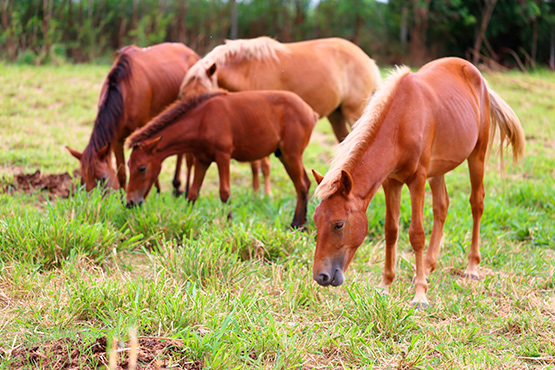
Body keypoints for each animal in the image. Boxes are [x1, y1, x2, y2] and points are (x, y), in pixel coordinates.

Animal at [66, 43, 200, 192]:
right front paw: (122, 196)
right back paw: (176, 185)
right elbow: (122, 173)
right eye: (82, 181)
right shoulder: (117, 140)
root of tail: (189, 50)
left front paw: (157, 191)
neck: (125, 93)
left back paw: (185, 188)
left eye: (102, 179)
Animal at [126, 90, 318, 228]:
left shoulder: (223, 156)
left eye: (142, 168)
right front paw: (187, 219)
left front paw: (229, 222)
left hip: (291, 155)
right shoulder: (202, 160)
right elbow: (193, 193)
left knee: (301, 185)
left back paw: (296, 223)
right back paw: (303, 223)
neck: (202, 119)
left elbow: (224, 193)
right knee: (306, 183)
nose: (130, 203)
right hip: (284, 156)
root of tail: (310, 111)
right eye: (128, 165)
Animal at [312, 57, 524, 306]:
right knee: (442, 206)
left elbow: (416, 234)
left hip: (476, 157)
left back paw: (471, 267)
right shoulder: (391, 182)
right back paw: (429, 266)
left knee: (476, 204)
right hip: (438, 169)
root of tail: (477, 76)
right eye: (315, 220)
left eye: (339, 224)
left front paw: (420, 294)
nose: (320, 276)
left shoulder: (417, 181)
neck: (401, 123)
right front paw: (386, 284)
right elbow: (391, 230)